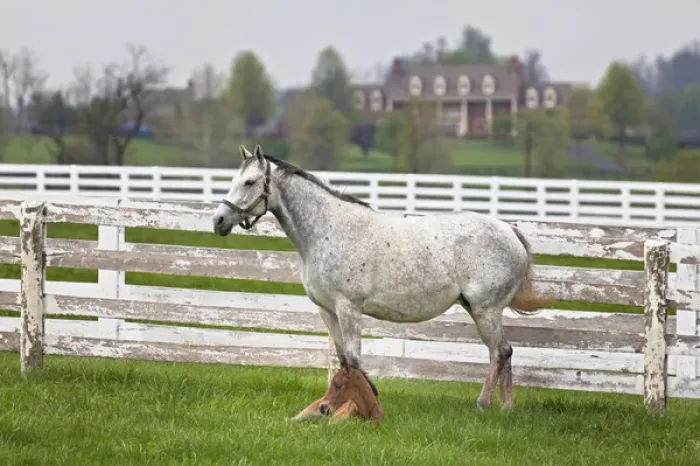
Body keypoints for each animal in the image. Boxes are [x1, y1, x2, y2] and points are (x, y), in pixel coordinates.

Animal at [212, 144, 555, 413]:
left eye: (250, 181)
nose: (219, 220)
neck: (327, 231)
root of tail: (509, 229)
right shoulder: (327, 310)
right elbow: (342, 360)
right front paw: (333, 403)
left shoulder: (349, 308)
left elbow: (353, 359)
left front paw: (357, 403)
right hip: (477, 308)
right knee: (504, 352)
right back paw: (506, 408)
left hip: (486, 309)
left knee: (500, 352)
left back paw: (484, 404)